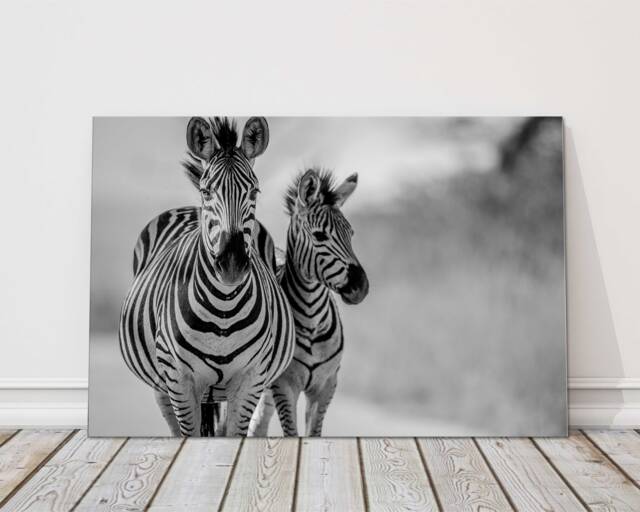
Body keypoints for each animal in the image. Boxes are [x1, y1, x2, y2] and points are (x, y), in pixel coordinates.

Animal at [119, 117, 295, 437]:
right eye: (207, 192)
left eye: (255, 192)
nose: (232, 264)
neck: (223, 309)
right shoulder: (179, 380)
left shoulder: (251, 379)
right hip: (162, 387)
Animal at [249, 168, 369, 436]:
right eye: (319, 236)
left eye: (351, 234)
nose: (361, 287)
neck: (312, 320)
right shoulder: (285, 386)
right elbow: (292, 435)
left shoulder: (326, 385)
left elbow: (314, 433)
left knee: (257, 425)